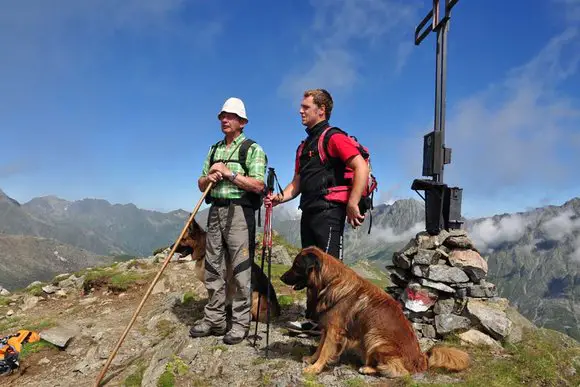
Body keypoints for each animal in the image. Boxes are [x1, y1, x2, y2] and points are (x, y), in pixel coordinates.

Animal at [278, 247, 468, 378]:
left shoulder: (334, 330)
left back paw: (368, 369)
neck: (330, 282)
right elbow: (320, 347)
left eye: (296, 266)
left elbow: (325, 350)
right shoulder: (328, 328)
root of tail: (422, 359)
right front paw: (312, 360)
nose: (281, 277)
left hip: (374, 337)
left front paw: (315, 368)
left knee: (398, 371)